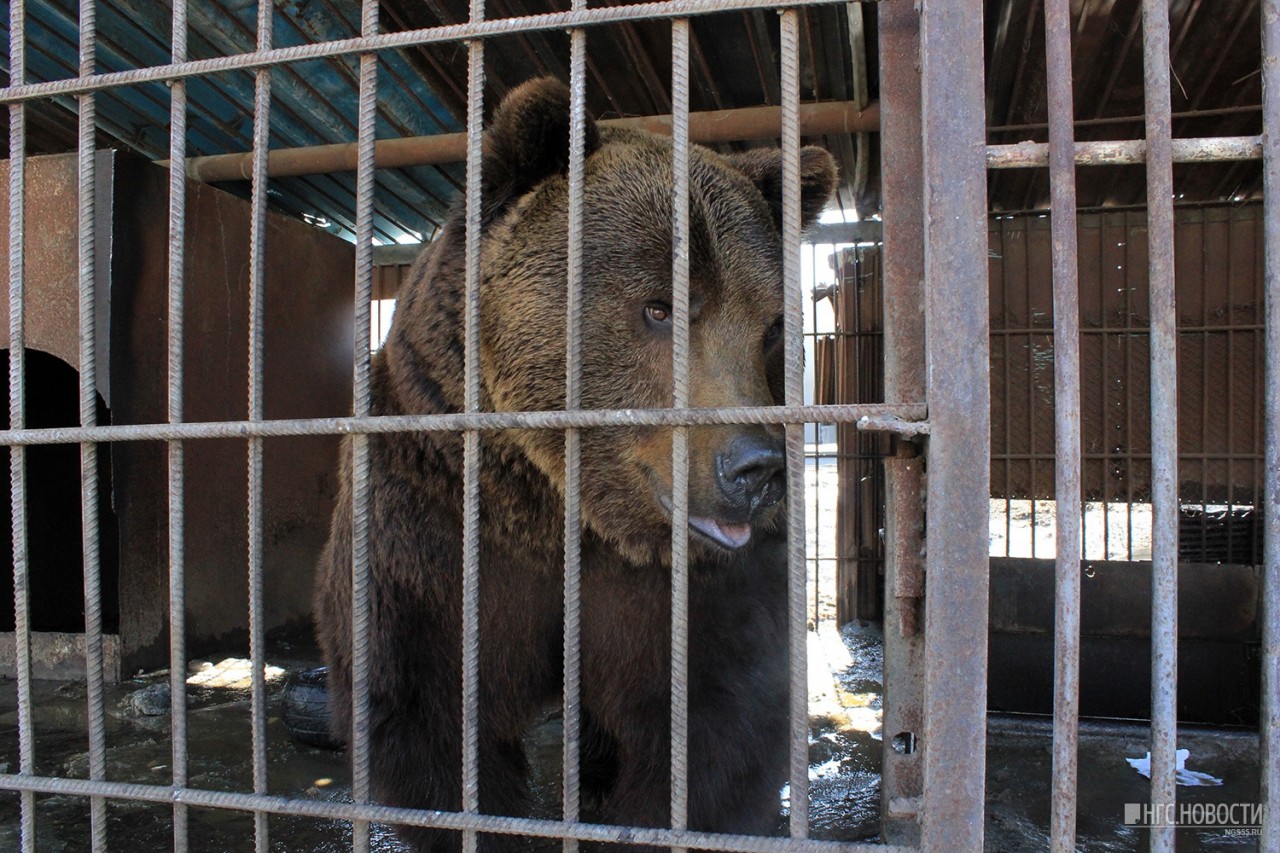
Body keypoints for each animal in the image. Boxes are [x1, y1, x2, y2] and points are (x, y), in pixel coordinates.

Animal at [316, 76, 839, 845]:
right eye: (658, 308)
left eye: (771, 327)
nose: (755, 467)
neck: (557, 505)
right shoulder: (429, 522)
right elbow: (431, 715)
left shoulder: (684, 584)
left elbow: (719, 720)